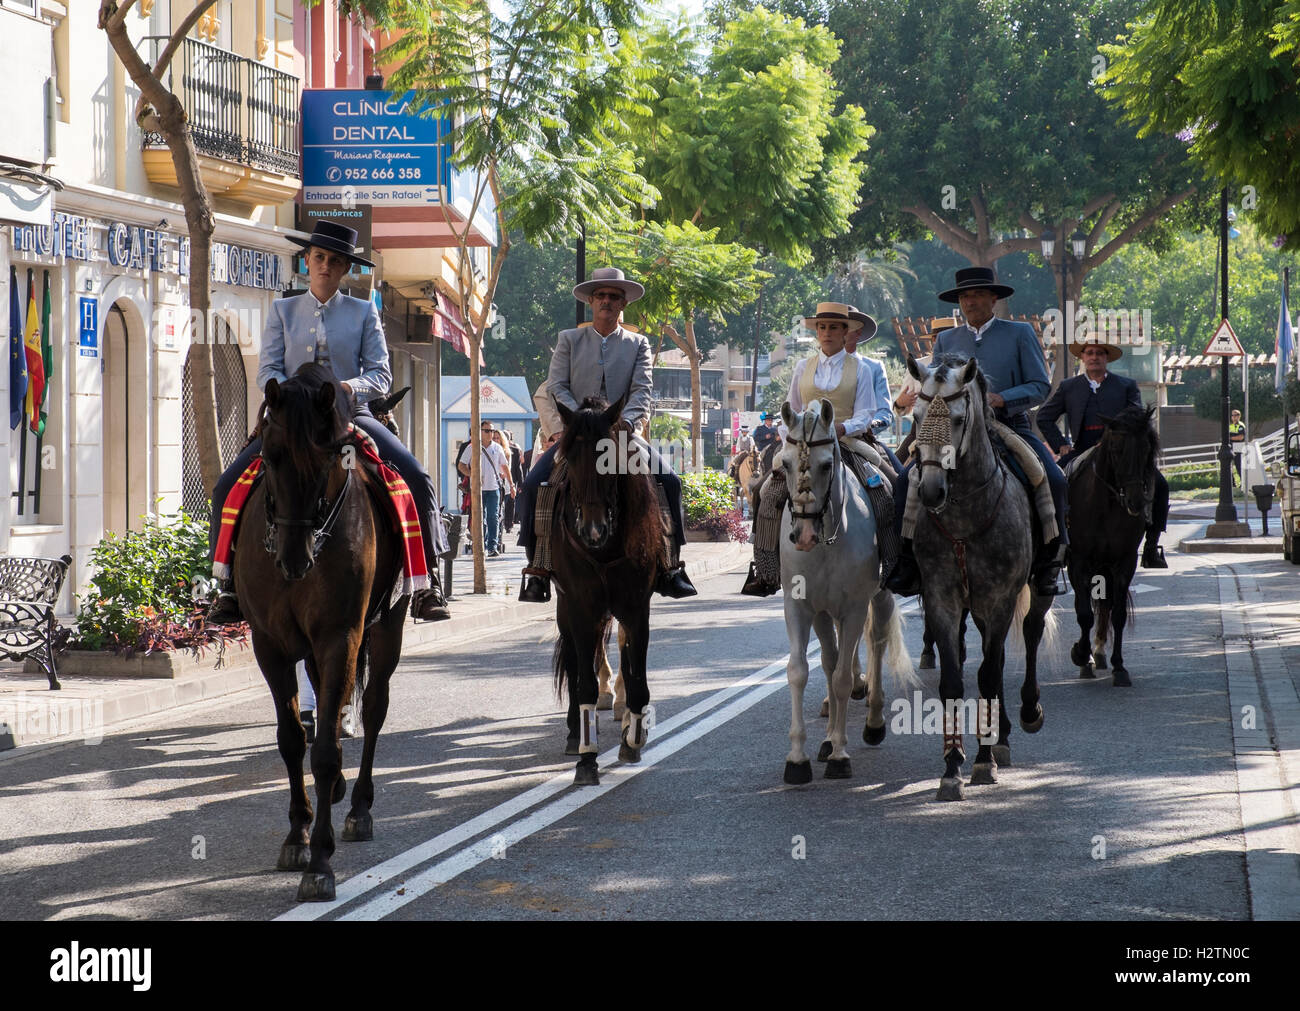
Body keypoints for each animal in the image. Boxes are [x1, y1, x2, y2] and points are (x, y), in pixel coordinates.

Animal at [236, 361, 408, 899]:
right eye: (270, 455)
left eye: (328, 455)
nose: (295, 559)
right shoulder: (269, 644)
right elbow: (293, 738)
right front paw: (297, 834)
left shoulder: (341, 637)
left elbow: (328, 749)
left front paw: (320, 861)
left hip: (387, 628)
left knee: (373, 709)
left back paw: (359, 808)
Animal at [551, 392, 665, 779]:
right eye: (569, 457)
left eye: (609, 458)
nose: (592, 530)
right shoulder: (580, 606)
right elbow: (583, 680)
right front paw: (587, 756)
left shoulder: (636, 607)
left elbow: (637, 675)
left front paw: (634, 737)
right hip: (566, 607)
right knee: (575, 659)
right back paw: (576, 734)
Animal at [774, 397, 920, 784]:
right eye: (785, 464)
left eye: (827, 465)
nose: (803, 535)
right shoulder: (801, 607)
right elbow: (802, 671)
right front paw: (799, 757)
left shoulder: (854, 608)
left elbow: (841, 678)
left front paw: (840, 753)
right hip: (826, 613)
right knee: (830, 659)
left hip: (878, 600)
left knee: (877, 643)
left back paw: (873, 721)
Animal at [909, 358, 1050, 800]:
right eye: (916, 417)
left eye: (956, 419)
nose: (931, 491)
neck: (964, 518)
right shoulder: (942, 599)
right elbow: (953, 681)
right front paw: (952, 766)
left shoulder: (1001, 597)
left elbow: (987, 674)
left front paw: (982, 762)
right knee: (997, 654)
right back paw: (999, 735)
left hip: (1033, 588)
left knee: (1031, 632)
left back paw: (1025, 714)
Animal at [1066, 402, 1159, 686]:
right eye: (1117, 450)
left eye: (1146, 449)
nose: (1136, 502)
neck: (1106, 505)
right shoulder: (1079, 562)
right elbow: (1084, 613)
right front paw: (1080, 654)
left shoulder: (1124, 562)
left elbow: (1117, 614)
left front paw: (1119, 666)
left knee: (1105, 607)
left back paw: (1099, 652)